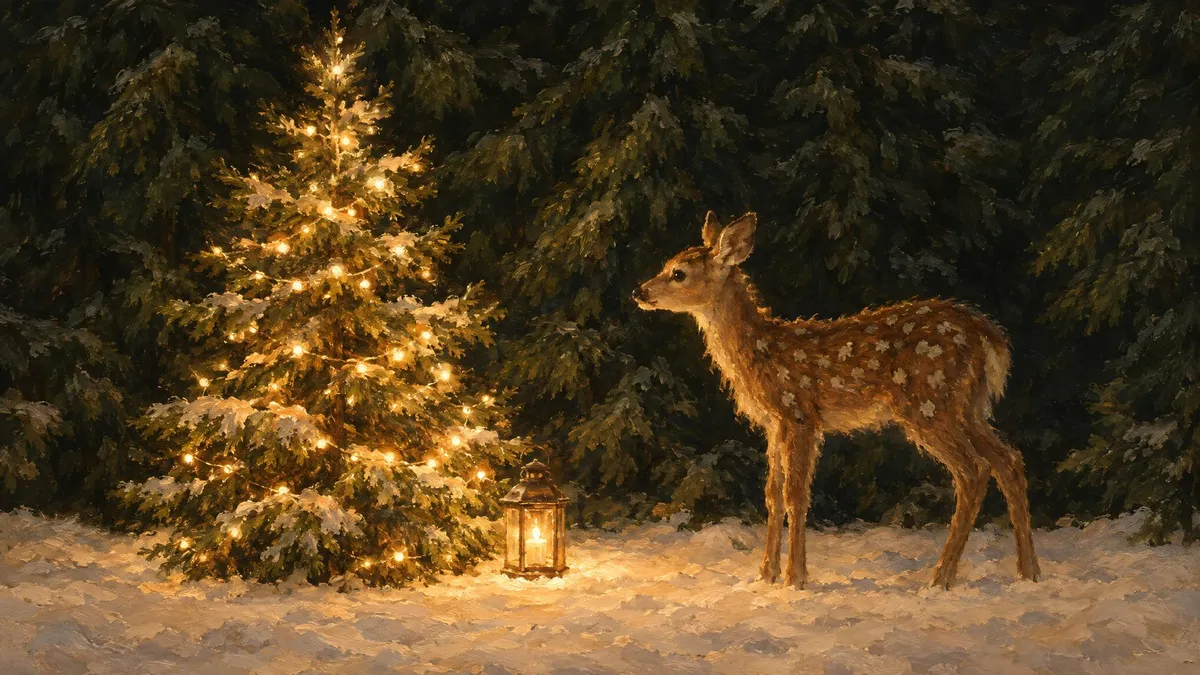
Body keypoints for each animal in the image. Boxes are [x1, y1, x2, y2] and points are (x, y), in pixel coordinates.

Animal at [633, 211, 1041, 590]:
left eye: (678, 273)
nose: (639, 292)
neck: (761, 354)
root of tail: (992, 339)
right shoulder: (773, 424)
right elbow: (772, 496)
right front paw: (765, 577)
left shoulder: (799, 414)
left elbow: (796, 496)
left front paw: (794, 580)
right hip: (967, 407)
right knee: (1008, 459)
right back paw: (1028, 573)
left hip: (929, 403)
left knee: (973, 470)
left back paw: (940, 579)